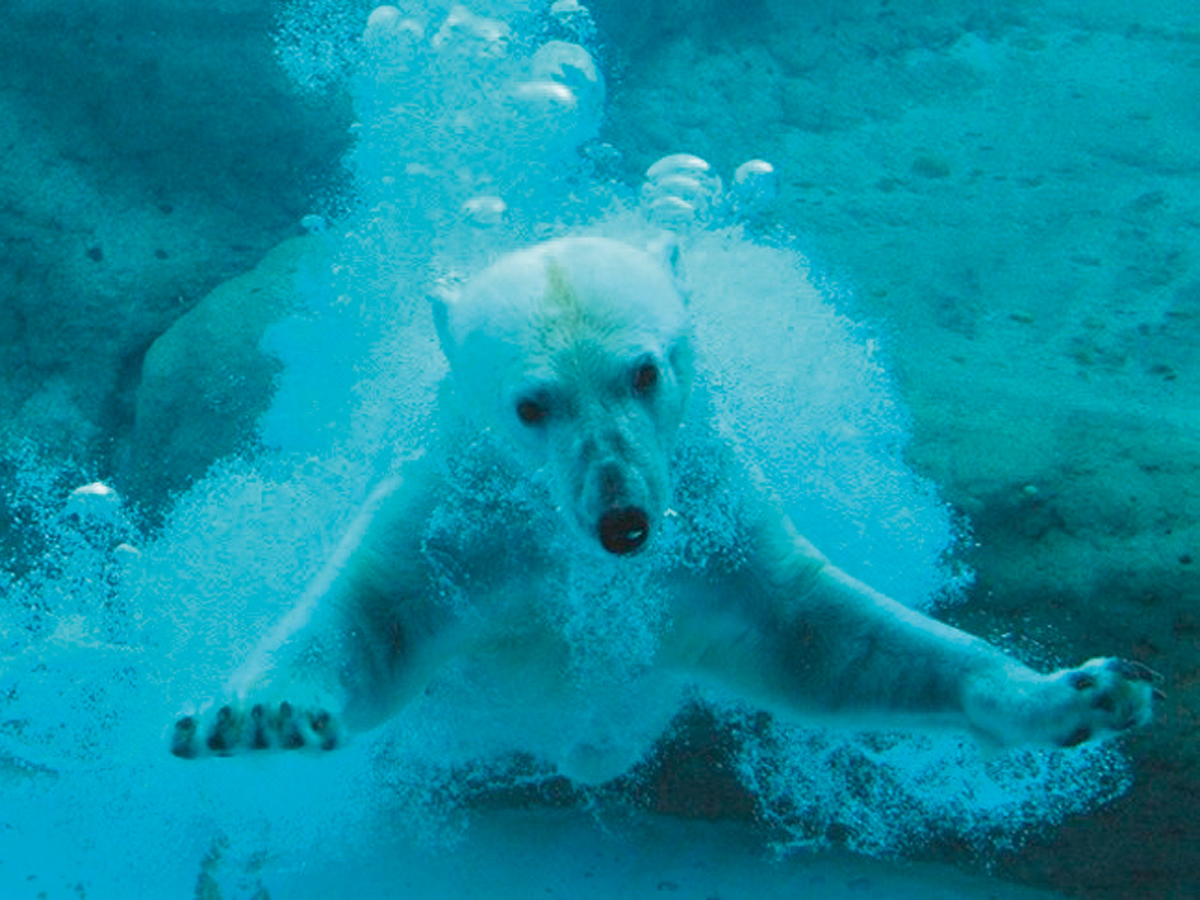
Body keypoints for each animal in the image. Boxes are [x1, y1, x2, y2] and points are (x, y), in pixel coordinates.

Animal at [171, 236, 1161, 777]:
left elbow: (820, 636)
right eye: (531, 405)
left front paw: (1081, 692)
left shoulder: (713, 525)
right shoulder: (456, 517)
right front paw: (259, 715)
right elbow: (377, 615)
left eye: (644, 371)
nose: (624, 522)